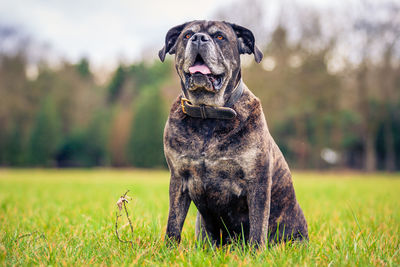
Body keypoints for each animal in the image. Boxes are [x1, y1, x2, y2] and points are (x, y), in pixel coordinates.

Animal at [158, 19, 308, 248]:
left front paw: (256, 252)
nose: (199, 38)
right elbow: (173, 223)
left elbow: (258, 225)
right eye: (187, 35)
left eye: (220, 36)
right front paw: (170, 250)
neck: (208, 115)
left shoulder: (258, 182)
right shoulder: (179, 179)